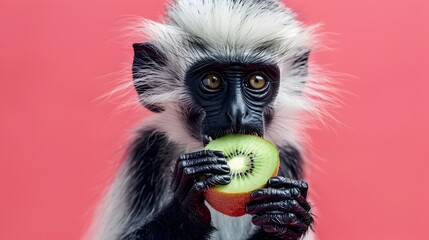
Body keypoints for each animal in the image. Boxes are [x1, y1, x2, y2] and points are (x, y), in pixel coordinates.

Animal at [85, 0, 324, 240]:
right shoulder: (146, 152)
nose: (237, 112)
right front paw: (187, 206)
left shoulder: (289, 157)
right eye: (212, 81)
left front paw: (286, 215)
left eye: (257, 81)